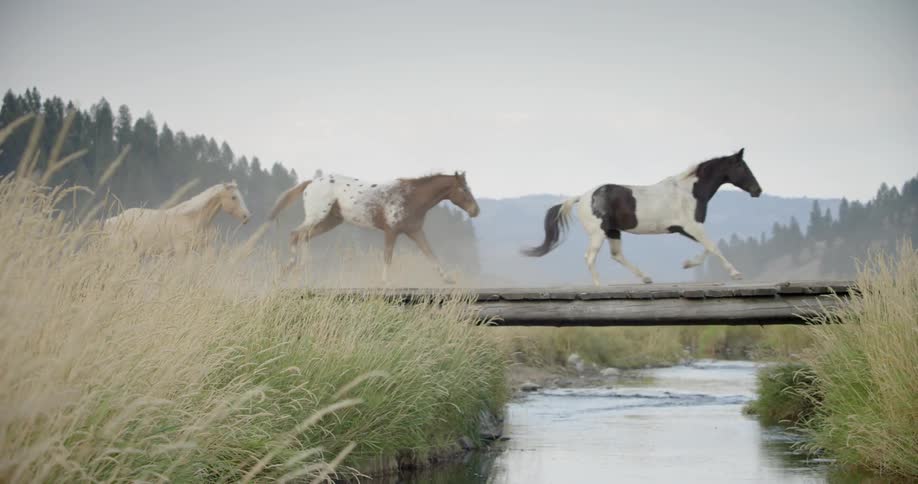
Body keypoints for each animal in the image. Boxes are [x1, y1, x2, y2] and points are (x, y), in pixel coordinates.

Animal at [270, 170, 480, 284]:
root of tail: (310, 183)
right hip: (317, 217)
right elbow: (387, 257)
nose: (475, 211)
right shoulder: (391, 231)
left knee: (304, 236)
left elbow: (430, 253)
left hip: (330, 221)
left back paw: (302, 269)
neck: (411, 197)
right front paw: (385, 281)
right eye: (464, 189)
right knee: (295, 234)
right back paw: (290, 267)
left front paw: (448, 279)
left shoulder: (414, 231)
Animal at [522, 148, 762, 285]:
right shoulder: (692, 226)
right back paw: (600, 286)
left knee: (617, 255)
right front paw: (736, 274)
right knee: (590, 257)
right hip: (598, 233)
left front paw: (687, 264)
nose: (758, 190)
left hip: (613, 231)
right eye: (742, 166)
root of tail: (582, 197)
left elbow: (708, 248)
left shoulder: (687, 229)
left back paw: (646, 278)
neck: (689, 191)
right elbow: (713, 247)